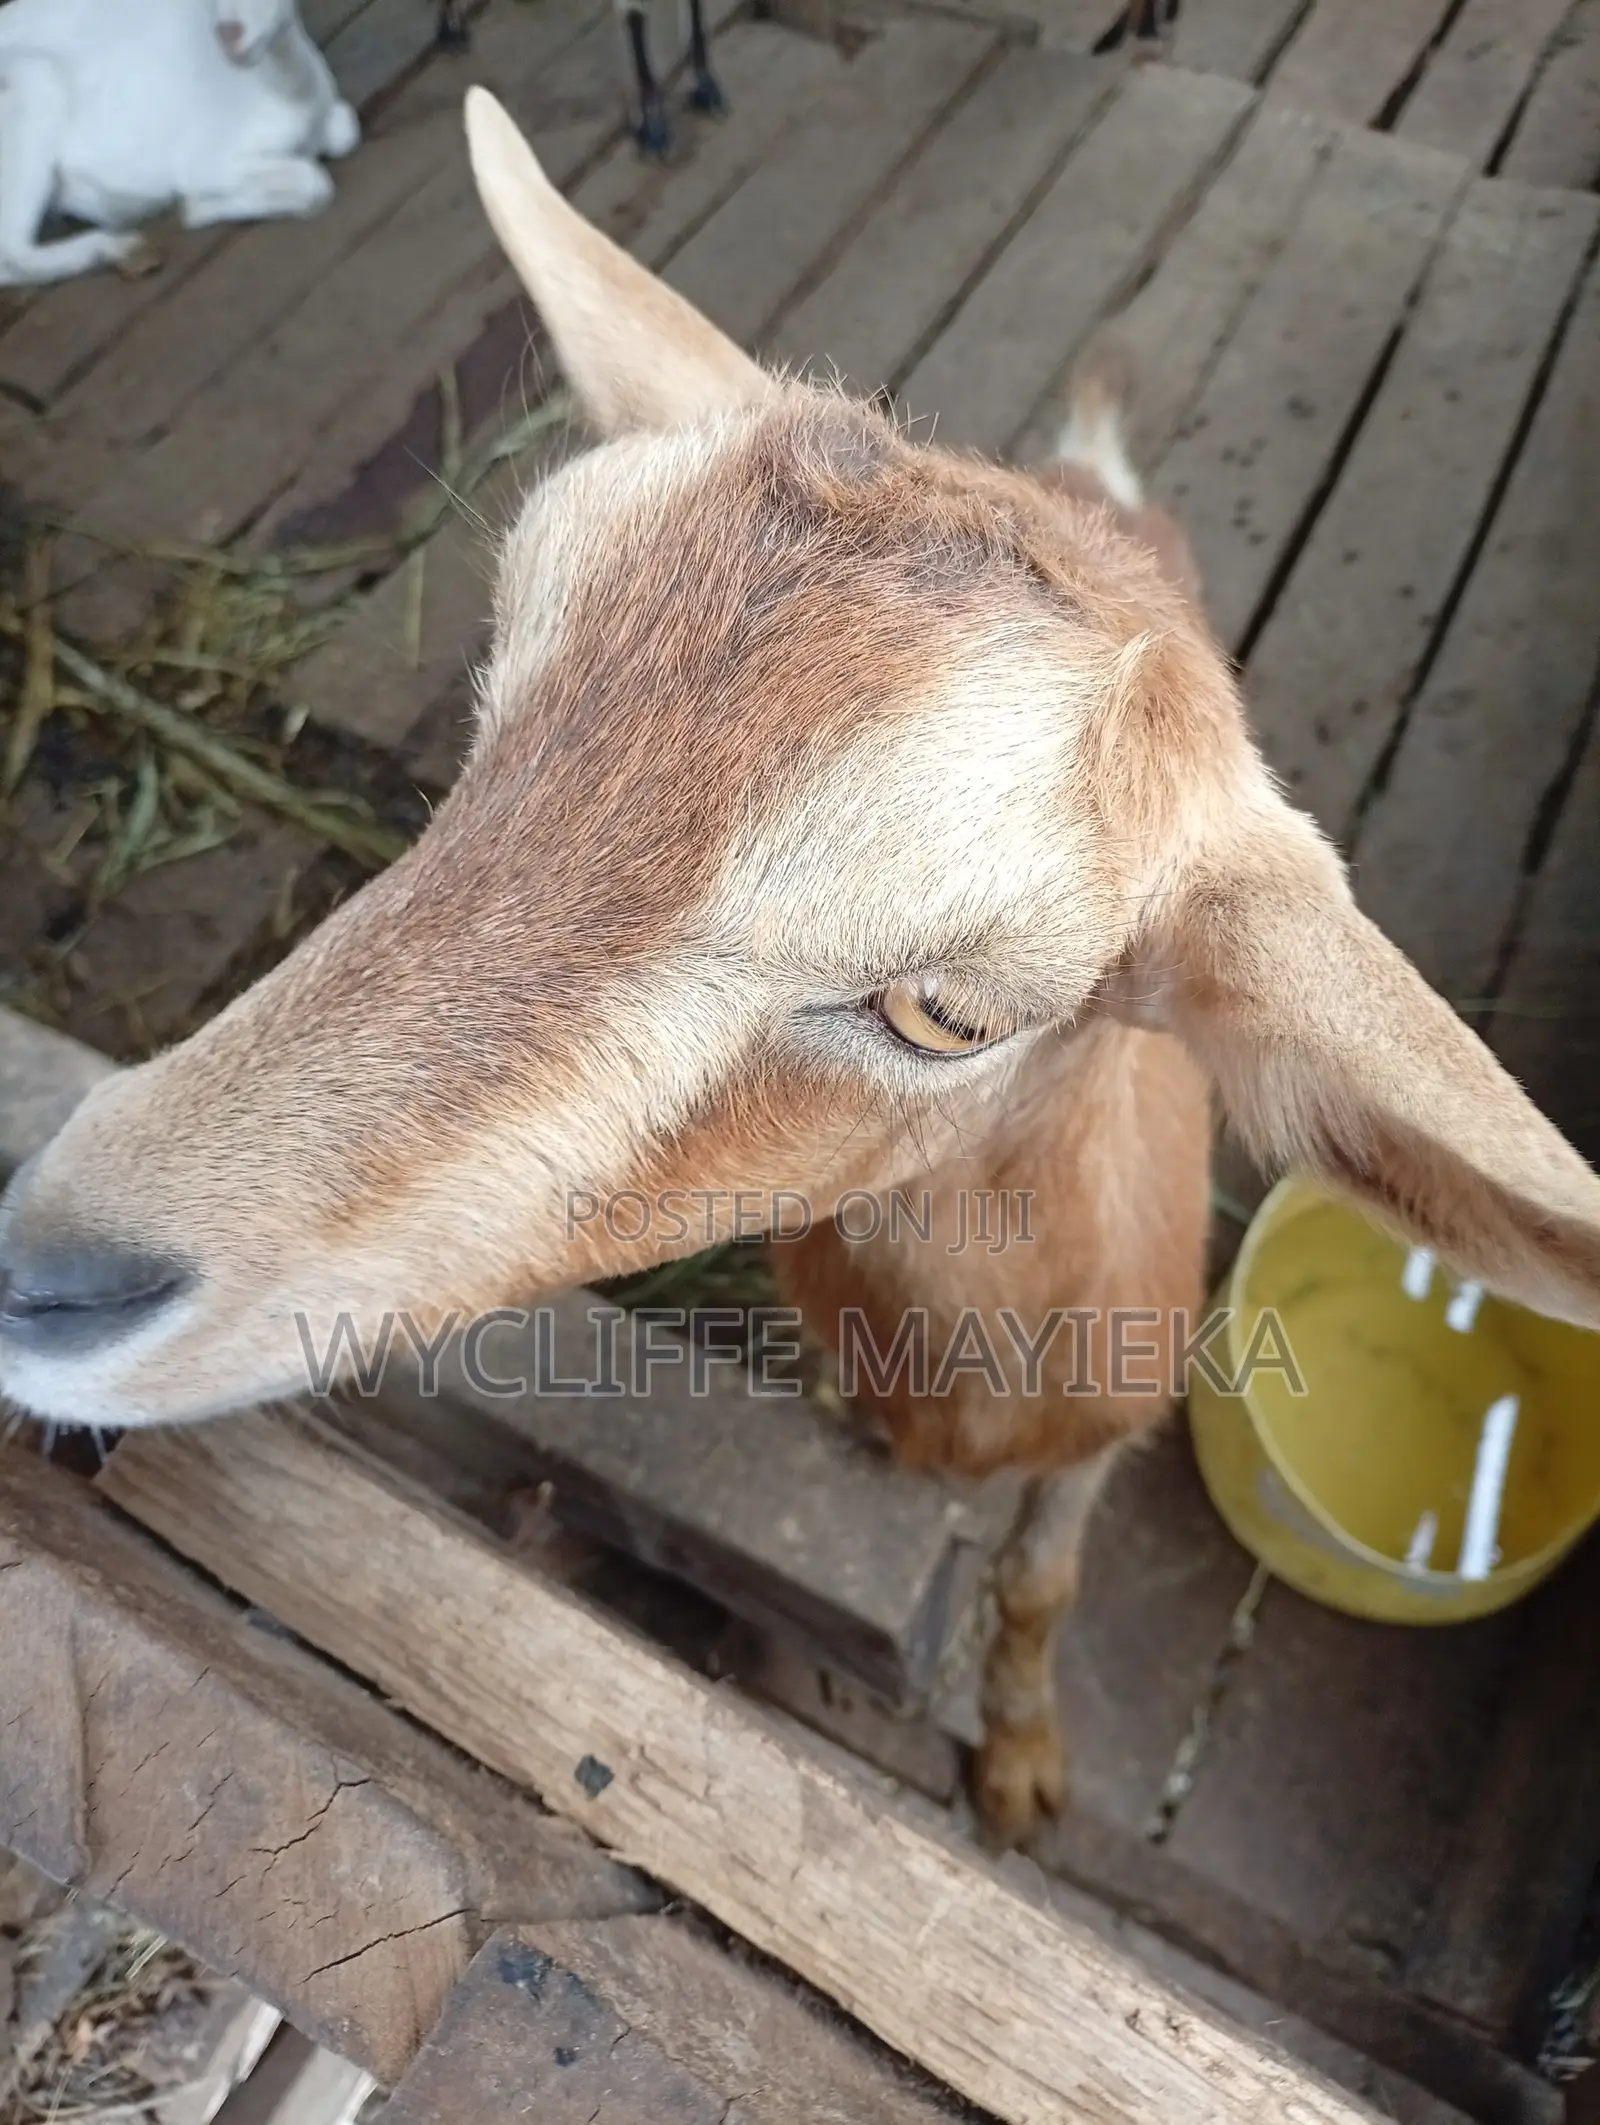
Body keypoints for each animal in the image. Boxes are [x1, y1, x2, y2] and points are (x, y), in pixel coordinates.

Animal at [0, 0, 358, 287]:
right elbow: (314, 183)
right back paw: (125, 249)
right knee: (11, 256)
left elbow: (346, 130)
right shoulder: (205, 160)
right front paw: (198, 208)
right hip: (32, 87)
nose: (229, 34)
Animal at [3, 90, 1599, 1847]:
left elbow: (1039, 1591)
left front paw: (1020, 1774)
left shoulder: (1100, 1444)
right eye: (496, 713)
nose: (43, 1272)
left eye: (949, 1010)